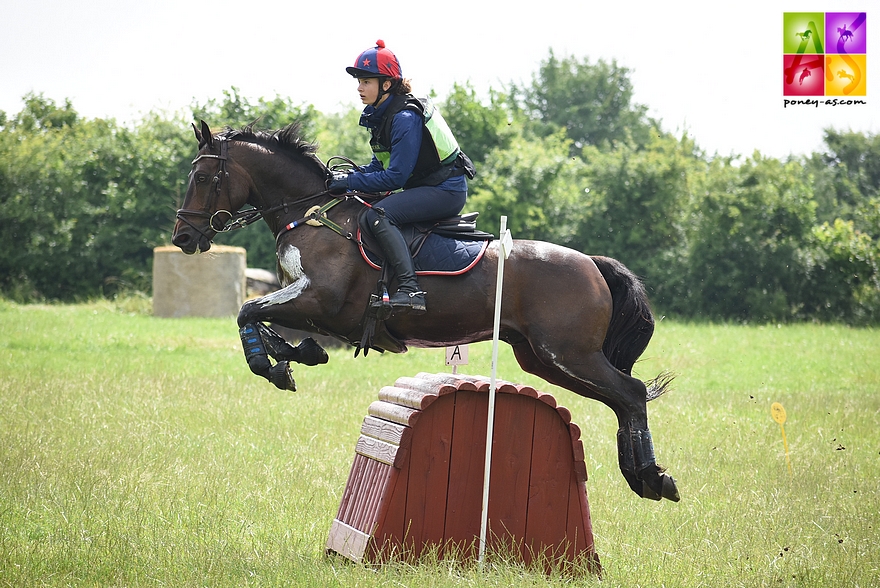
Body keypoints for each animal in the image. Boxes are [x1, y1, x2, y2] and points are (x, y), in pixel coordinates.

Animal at [172, 119, 680, 500]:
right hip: (543, 358)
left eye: (204, 178)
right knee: (621, 399)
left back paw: (652, 478)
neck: (313, 214)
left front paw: (274, 366)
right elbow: (261, 318)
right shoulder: (307, 304)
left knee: (631, 392)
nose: (183, 238)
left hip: (568, 353)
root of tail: (592, 264)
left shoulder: (321, 301)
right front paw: (295, 356)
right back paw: (642, 477)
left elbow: (248, 310)